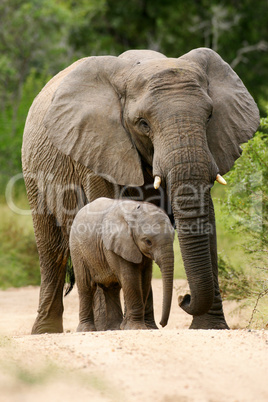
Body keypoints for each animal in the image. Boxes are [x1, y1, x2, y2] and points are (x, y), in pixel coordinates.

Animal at [69, 196, 175, 332]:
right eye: (148, 241)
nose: (162, 324)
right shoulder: (115, 245)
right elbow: (130, 278)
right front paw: (136, 328)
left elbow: (145, 280)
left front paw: (126, 327)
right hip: (77, 249)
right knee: (86, 286)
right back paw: (86, 330)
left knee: (112, 288)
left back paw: (114, 328)